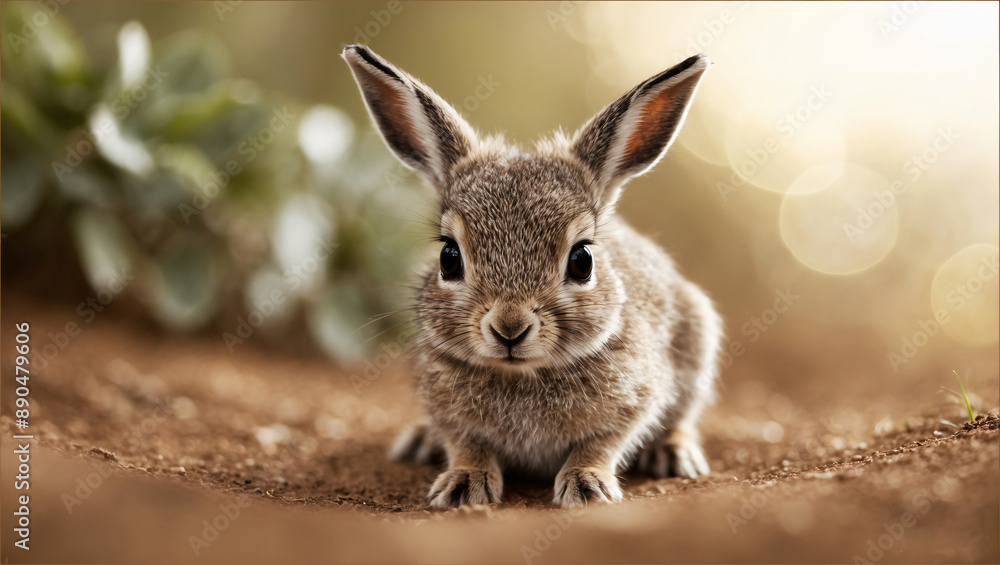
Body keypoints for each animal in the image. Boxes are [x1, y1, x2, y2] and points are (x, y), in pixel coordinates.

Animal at [343, 44, 721, 509]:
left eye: (582, 260)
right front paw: (463, 483)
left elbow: (602, 444)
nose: (510, 328)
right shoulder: (444, 407)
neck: (522, 374)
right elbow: (466, 444)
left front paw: (588, 485)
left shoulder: (639, 398)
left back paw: (674, 454)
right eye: (449, 257)